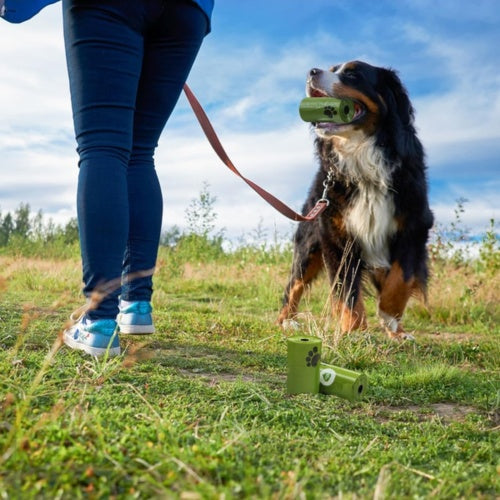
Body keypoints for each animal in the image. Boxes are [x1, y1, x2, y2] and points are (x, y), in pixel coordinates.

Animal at [278, 59, 434, 340]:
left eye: (352, 74)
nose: (311, 72)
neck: (362, 159)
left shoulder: (414, 227)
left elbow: (400, 280)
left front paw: (391, 322)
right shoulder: (337, 237)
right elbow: (346, 290)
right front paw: (353, 331)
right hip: (308, 244)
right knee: (293, 286)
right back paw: (286, 322)